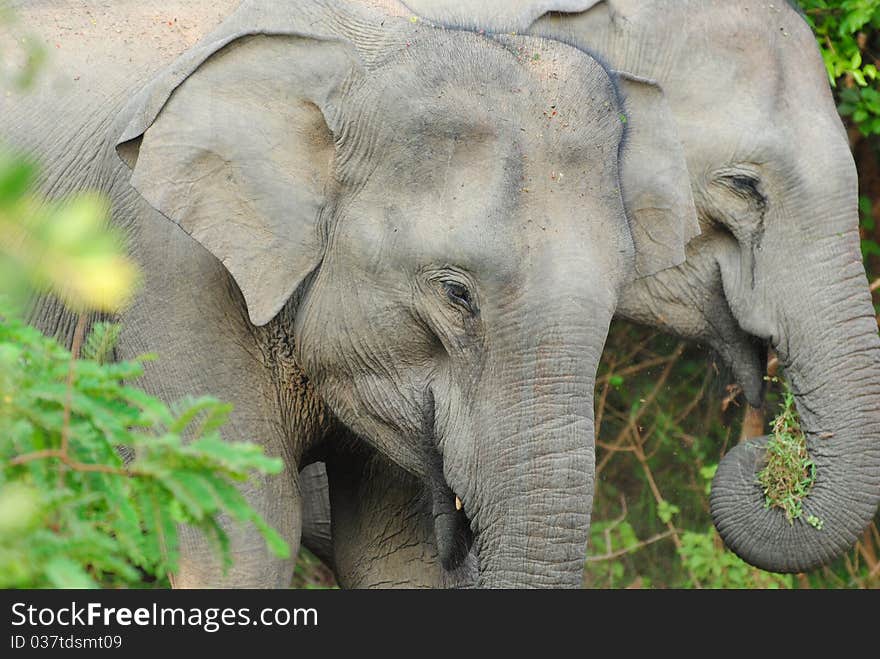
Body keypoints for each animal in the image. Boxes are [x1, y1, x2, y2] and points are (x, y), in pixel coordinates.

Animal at [1, 0, 700, 588]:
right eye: (456, 294)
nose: (461, 531)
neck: (367, 51)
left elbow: (394, 558)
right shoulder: (166, 265)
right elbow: (244, 536)